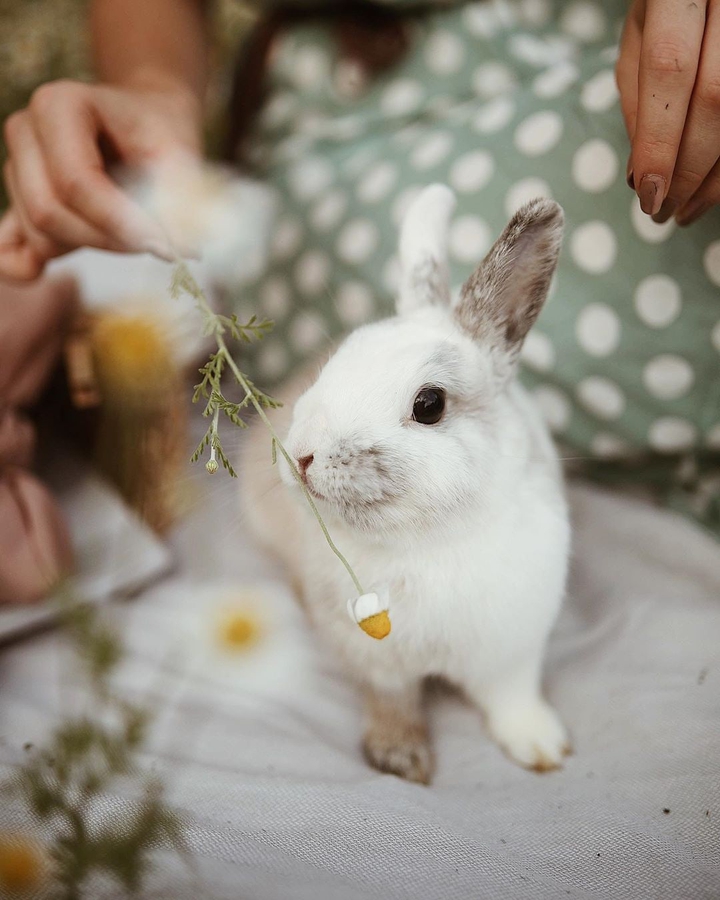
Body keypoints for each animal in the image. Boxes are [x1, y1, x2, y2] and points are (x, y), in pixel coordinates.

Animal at [241, 184, 571, 784]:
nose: (299, 456)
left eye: (430, 404)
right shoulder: (378, 663)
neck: (427, 540)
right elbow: (392, 702)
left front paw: (542, 747)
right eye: (336, 364)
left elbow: (513, 699)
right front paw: (402, 759)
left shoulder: (512, 653)